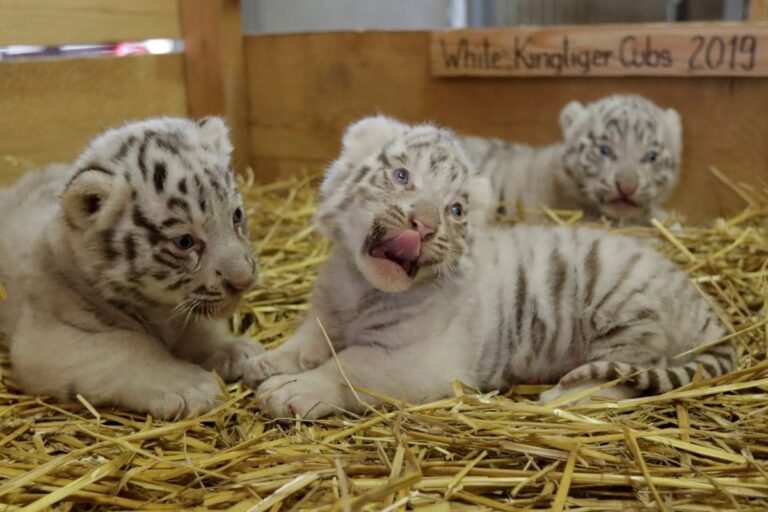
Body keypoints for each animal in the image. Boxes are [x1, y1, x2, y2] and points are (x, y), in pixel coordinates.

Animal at [0, 117, 262, 419]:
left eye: (237, 216)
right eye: (184, 242)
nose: (243, 281)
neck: (160, 311)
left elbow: (198, 329)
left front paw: (238, 350)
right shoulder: (45, 338)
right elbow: (127, 347)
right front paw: (192, 386)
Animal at [242, 115, 733, 420]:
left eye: (455, 210)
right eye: (402, 176)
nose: (424, 225)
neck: (359, 289)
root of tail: (699, 300)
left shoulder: (416, 361)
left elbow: (349, 366)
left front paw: (292, 390)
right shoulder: (327, 310)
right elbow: (307, 339)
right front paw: (266, 361)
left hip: (626, 315)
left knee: (626, 376)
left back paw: (565, 396)